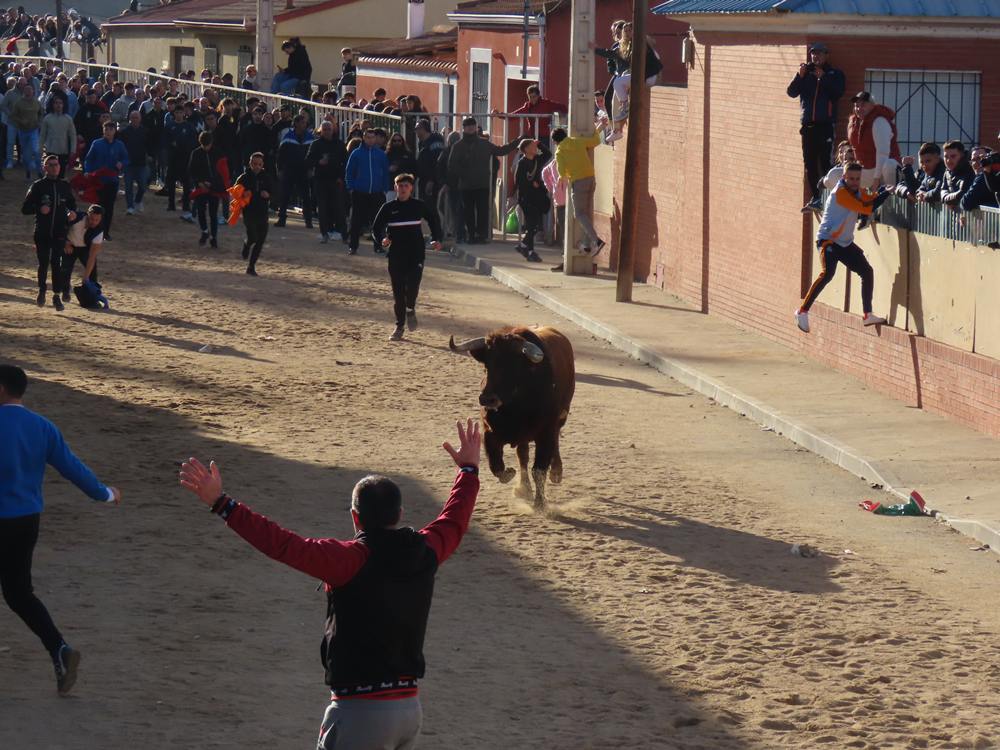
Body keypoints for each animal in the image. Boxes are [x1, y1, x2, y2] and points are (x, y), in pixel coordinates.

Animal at [450, 326, 576, 508]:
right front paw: (511, 474)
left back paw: (556, 472)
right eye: (487, 365)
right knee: (523, 456)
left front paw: (540, 503)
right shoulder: (489, 432)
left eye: (512, 366)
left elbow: (539, 470)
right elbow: (497, 466)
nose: (487, 399)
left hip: (560, 418)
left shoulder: (546, 433)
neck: (514, 409)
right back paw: (524, 487)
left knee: (555, 442)